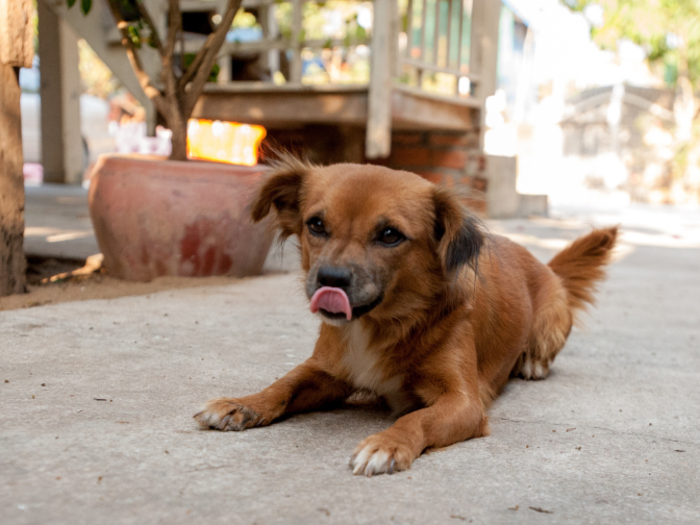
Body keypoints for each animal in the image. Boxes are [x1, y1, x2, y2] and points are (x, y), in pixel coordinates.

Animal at [193, 157, 616, 474]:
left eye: (390, 235)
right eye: (316, 224)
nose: (330, 279)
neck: (382, 323)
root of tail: (544, 265)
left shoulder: (464, 402)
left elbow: (416, 419)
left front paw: (387, 443)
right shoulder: (327, 369)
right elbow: (283, 385)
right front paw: (243, 403)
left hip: (554, 317)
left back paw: (531, 363)